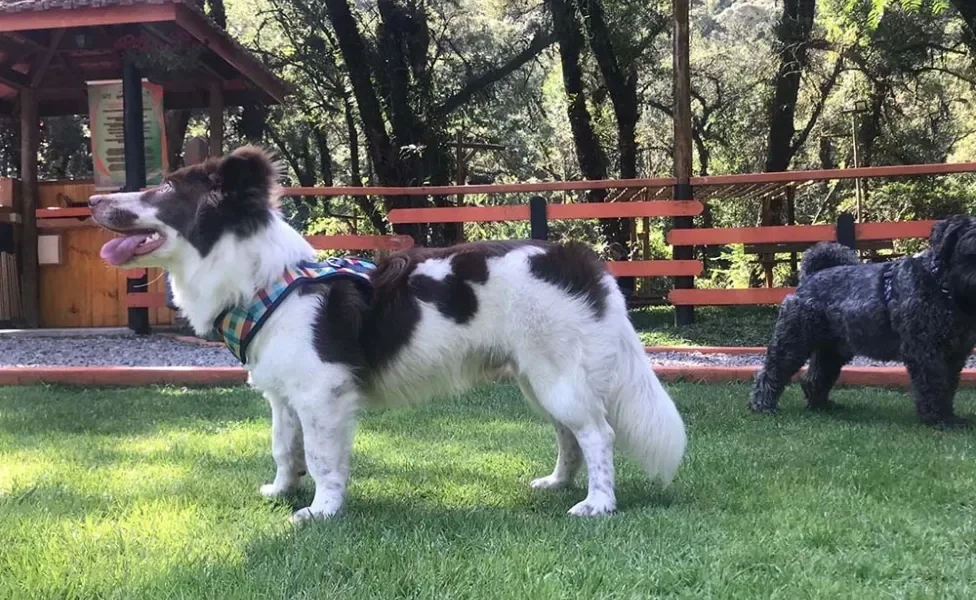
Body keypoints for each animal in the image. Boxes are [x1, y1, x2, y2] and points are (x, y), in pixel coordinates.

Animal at [89, 146, 688, 520]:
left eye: (165, 187)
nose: (93, 199)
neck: (266, 281)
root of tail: (579, 260)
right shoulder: (283, 395)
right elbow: (284, 447)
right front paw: (282, 490)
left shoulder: (323, 395)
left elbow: (324, 459)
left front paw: (321, 511)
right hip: (538, 379)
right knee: (570, 434)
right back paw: (559, 483)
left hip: (557, 374)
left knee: (598, 434)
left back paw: (597, 504)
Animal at [752, 216, 976, 426]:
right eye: (971, 249)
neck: (940, 283)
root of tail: (810, 277)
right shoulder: (925, 351)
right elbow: (934, 386)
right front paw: (939, 419)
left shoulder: (954, 354)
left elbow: (948, 386)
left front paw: (949, 416)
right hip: (793, 343)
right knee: (771, 372)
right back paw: (762, 405)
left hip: (831, 351)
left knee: (815, 377)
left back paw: (822, 405)